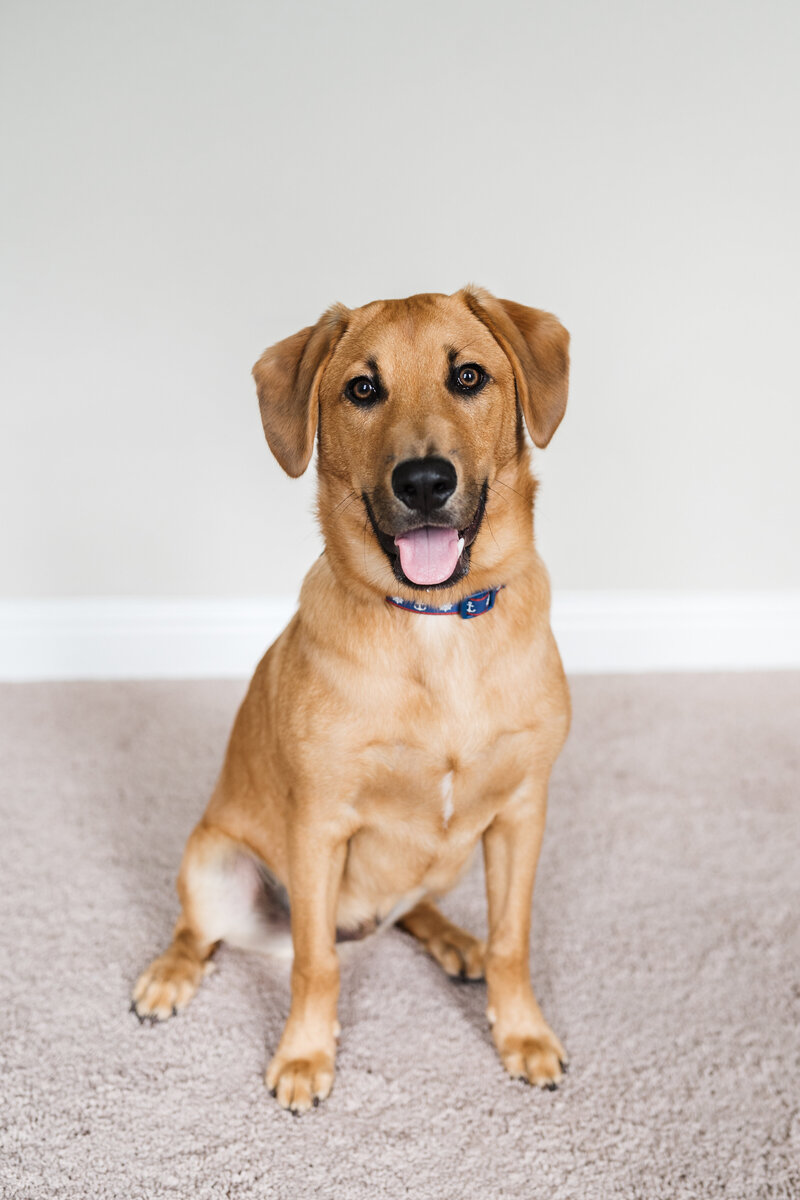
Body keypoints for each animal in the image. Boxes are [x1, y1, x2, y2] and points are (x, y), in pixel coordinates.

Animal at [133, 288, 568, 1113]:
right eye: (362, 389)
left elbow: (513, 941)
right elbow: (315, 963)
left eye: (468, 376)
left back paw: (453, 940)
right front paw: (306, 1054)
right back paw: (168, 977)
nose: (424, 481)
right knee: (198, 931)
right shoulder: (318, 827)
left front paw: (522, 1034)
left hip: (451, 857)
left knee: (416, 908)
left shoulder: (523, 815)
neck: (435, 627)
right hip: (214, 860)